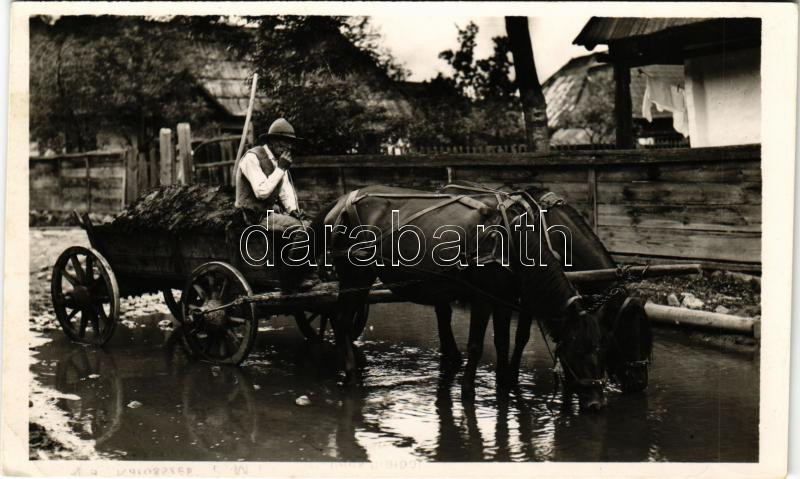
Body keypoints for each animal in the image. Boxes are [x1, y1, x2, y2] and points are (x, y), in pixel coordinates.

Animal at [307, 185, 608, 410]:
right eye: (577, 349)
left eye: (598, 347)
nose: (597, 403)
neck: (512, 238)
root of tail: (340, 202)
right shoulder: (483, 298)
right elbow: (476, 345)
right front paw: (467, 390)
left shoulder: (504, 297)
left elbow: (503, 341)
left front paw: (504, 384)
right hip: (354, 276)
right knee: (341, 321)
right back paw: (350, 374)